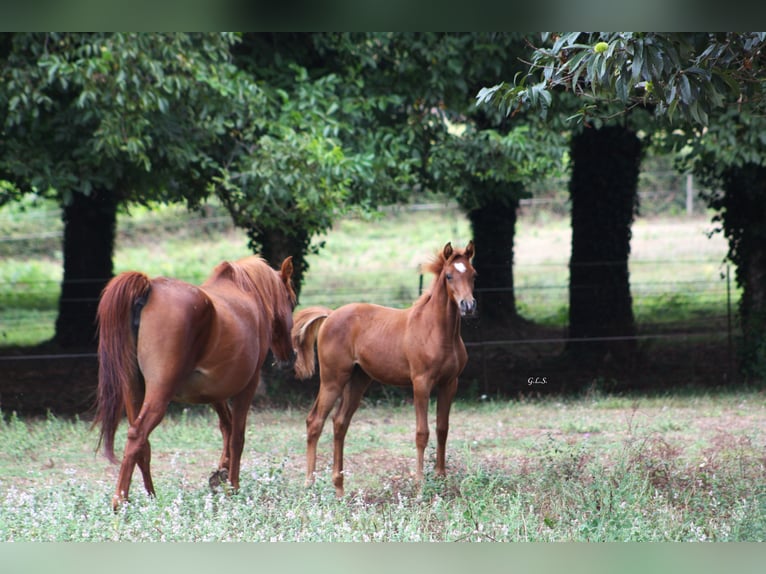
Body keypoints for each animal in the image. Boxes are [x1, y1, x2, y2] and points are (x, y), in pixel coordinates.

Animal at [95, 254, 296, 510]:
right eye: (292, 302)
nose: (290, 358)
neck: (247, 293)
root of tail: (149, 288)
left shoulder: (214, 391)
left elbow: (227, 426)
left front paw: (221, 474)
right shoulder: (247, 386)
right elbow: (237, 437)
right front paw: (233, 487)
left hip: (134, 392)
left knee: (142, 445)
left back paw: (150, 497)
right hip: (159, 395)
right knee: (137, 436)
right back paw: (120, 500)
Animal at [292, 241, 474, 498]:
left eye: (473, 275)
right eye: (449, 276)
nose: (468, 306)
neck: (437, 331)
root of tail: (330, 314)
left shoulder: (450, 383)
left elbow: (442, 428)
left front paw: (441, 478)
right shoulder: (421, 383)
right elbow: (422, 433)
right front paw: (420, 487)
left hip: (358, 380)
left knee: (340, 423)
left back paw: (339, 487)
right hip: (332, 380)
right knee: (315, 421)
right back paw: (309, 483)